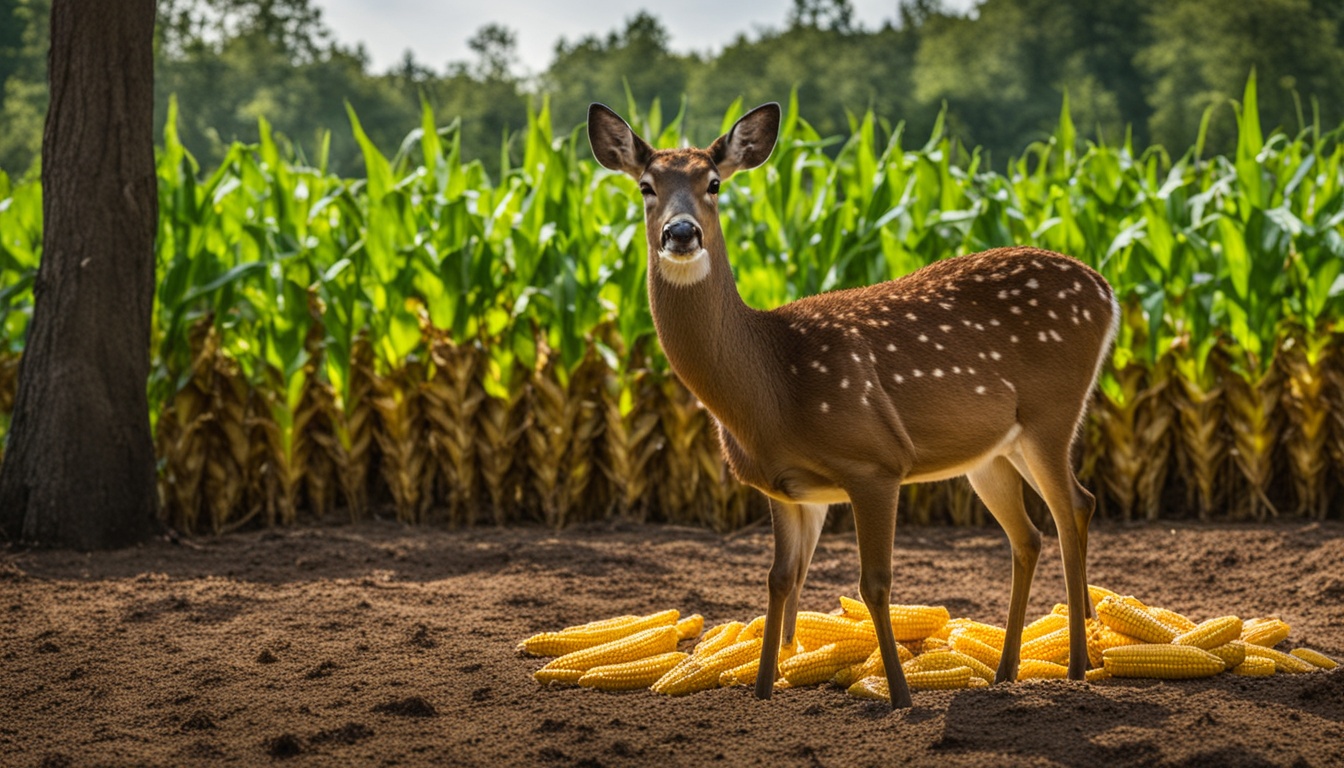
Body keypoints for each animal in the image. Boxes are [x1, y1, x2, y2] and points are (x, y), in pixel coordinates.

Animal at [583, 102, 1118, 710]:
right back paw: (1007, 673)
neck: (769, 386)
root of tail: (1107, 291)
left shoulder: (874, 461)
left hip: (1053, 412)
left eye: (714, 183)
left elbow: (874, 583)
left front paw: (901, 698)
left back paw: (1077, 668)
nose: (680, 232)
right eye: (646, 186)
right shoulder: (786, 489)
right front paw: (764, 689)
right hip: (992, 452)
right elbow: (781, 578)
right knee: (1030, 532)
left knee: (1072, 508)